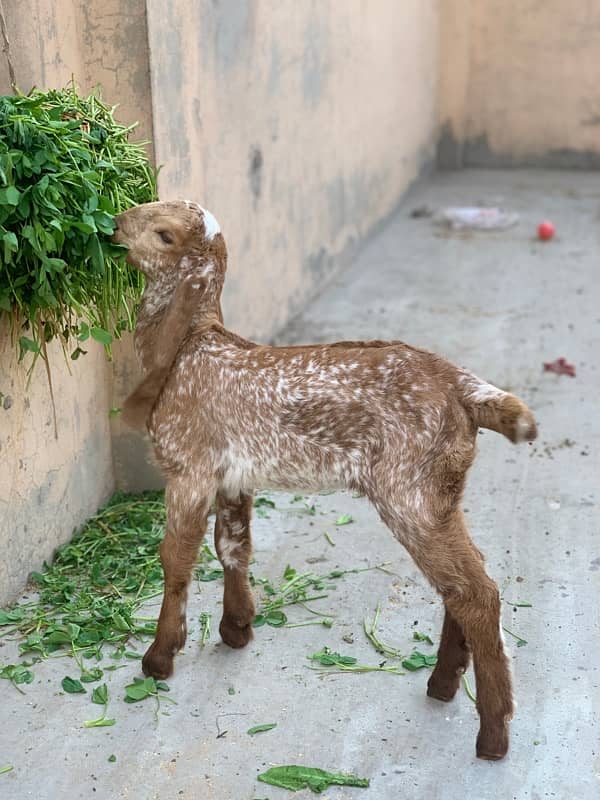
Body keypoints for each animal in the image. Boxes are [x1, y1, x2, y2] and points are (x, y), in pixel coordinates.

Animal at [113, 202, 540, 764]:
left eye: (163, 235)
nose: (116, 225)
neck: (191, 346)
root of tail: (466, 391)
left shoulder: (189, 470)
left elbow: (177, 559)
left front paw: (160, 657)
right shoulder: (234, 477)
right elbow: (233, 545)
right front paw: (237, 628)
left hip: (409, 492)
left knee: (475, 592)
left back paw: (491, 735)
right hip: (441, 492)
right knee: (464, 581)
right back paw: (443, 684)